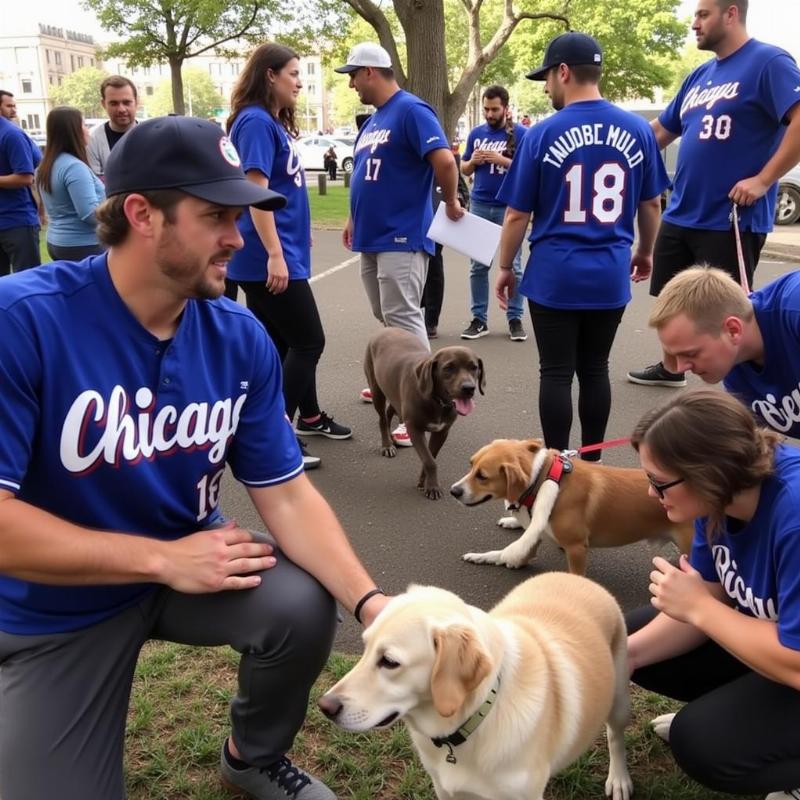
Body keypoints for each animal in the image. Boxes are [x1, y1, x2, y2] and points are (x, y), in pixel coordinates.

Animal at [316, 576, 636, 800]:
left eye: (390, 661)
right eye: (365, 647)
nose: (324, 706)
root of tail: (577, 577)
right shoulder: (446, 791)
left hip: (619, 700)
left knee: (615, 737)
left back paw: (619, 778)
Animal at [366, 328, 484, 496]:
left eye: (474, 367)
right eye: (448, 368)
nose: (469, 388)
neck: (437, 401)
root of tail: (385, 329)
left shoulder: (442, 432)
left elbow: (430, 456)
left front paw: (425, 482)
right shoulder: (414, 429)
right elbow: (429, 461)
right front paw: (433, 486)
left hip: (394, 392)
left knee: (390, 411)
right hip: (376, 390)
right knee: (382, 419)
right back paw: (387, 445)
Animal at [450, 438, 692, 576]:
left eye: (482, 476)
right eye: (471, 465)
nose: (454, 491)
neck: (546, 478)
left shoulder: (576, 549)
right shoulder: (531, 543)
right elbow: (501, 554)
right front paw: (480, 556)